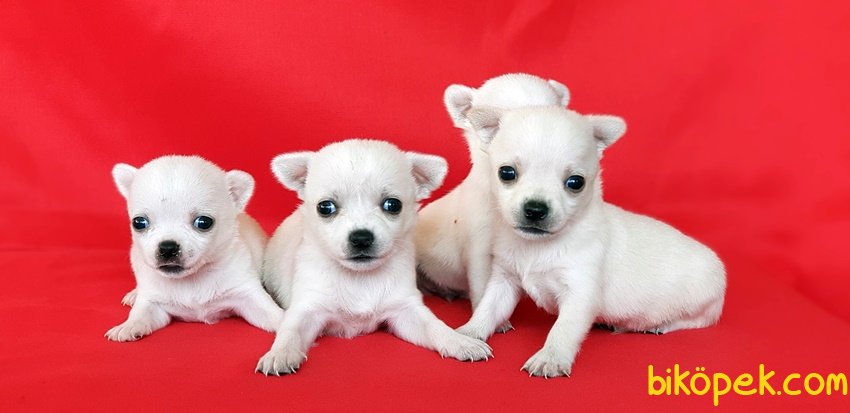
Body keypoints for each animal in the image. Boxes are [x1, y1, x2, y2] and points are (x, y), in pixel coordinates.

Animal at [106, 155, 283, 341]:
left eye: (204, 222)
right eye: (139, 223)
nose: (167, 247)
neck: (191, 280)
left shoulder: (246, 294)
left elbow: (273, 314)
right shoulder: (151, 302)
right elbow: (140, 314)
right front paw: (127, 326)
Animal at [256, 139, 492, 375]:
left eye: (393, 205)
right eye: (325, 207)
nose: (361, 238)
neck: (360, 279)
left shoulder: (405, 310)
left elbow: (435, 327)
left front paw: (460, 342)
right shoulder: (307, 308)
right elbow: (290, 331)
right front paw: (279, 354)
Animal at [456, 106, 727, 378]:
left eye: (575, 182)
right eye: (506, 173)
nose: (535, 209)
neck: (539, 246)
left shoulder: (580, 293)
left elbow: (563, 328)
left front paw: (551, 357)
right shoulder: (505, 281)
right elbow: (488, 309)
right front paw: (468, 334)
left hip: (702, 300)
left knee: (698, 320)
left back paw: (660, 325)